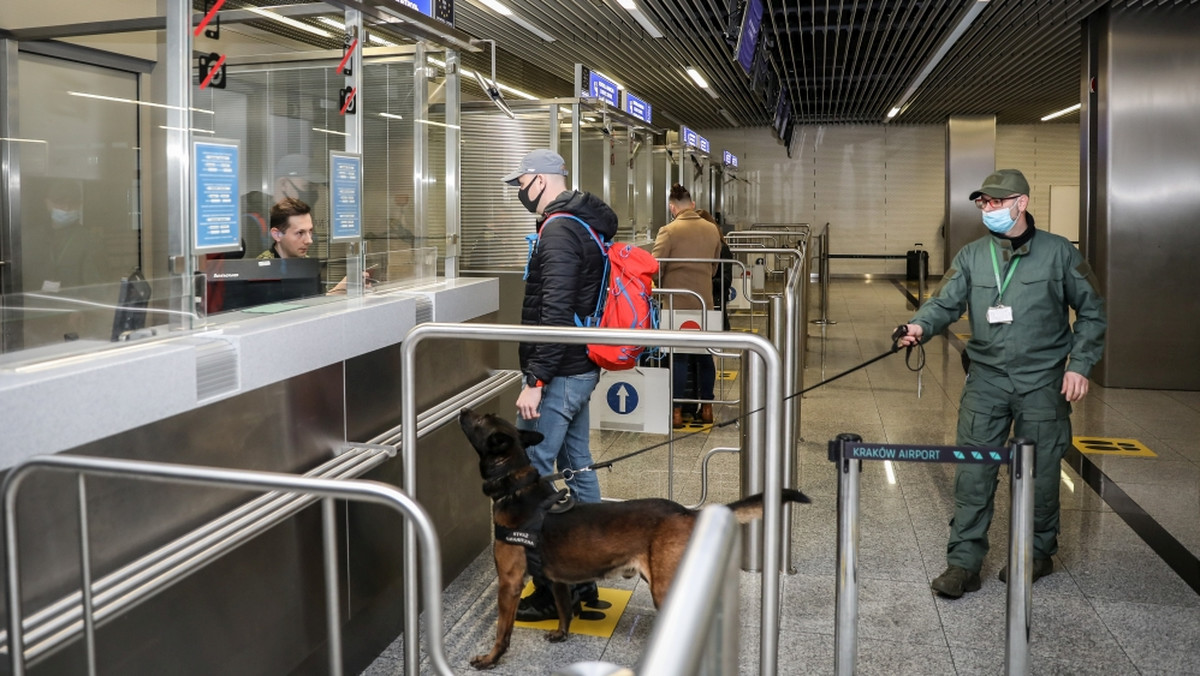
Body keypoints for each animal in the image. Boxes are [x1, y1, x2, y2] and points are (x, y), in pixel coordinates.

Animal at [456, 410, 806, 667]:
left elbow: (502, 630)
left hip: (665, 587)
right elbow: (565, 609)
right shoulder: (557, 580)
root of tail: (685, 512)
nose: (462, 410)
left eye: (479, 420)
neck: (516, 486)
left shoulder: (510, 583)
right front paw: (561, 633)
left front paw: (491, 659)